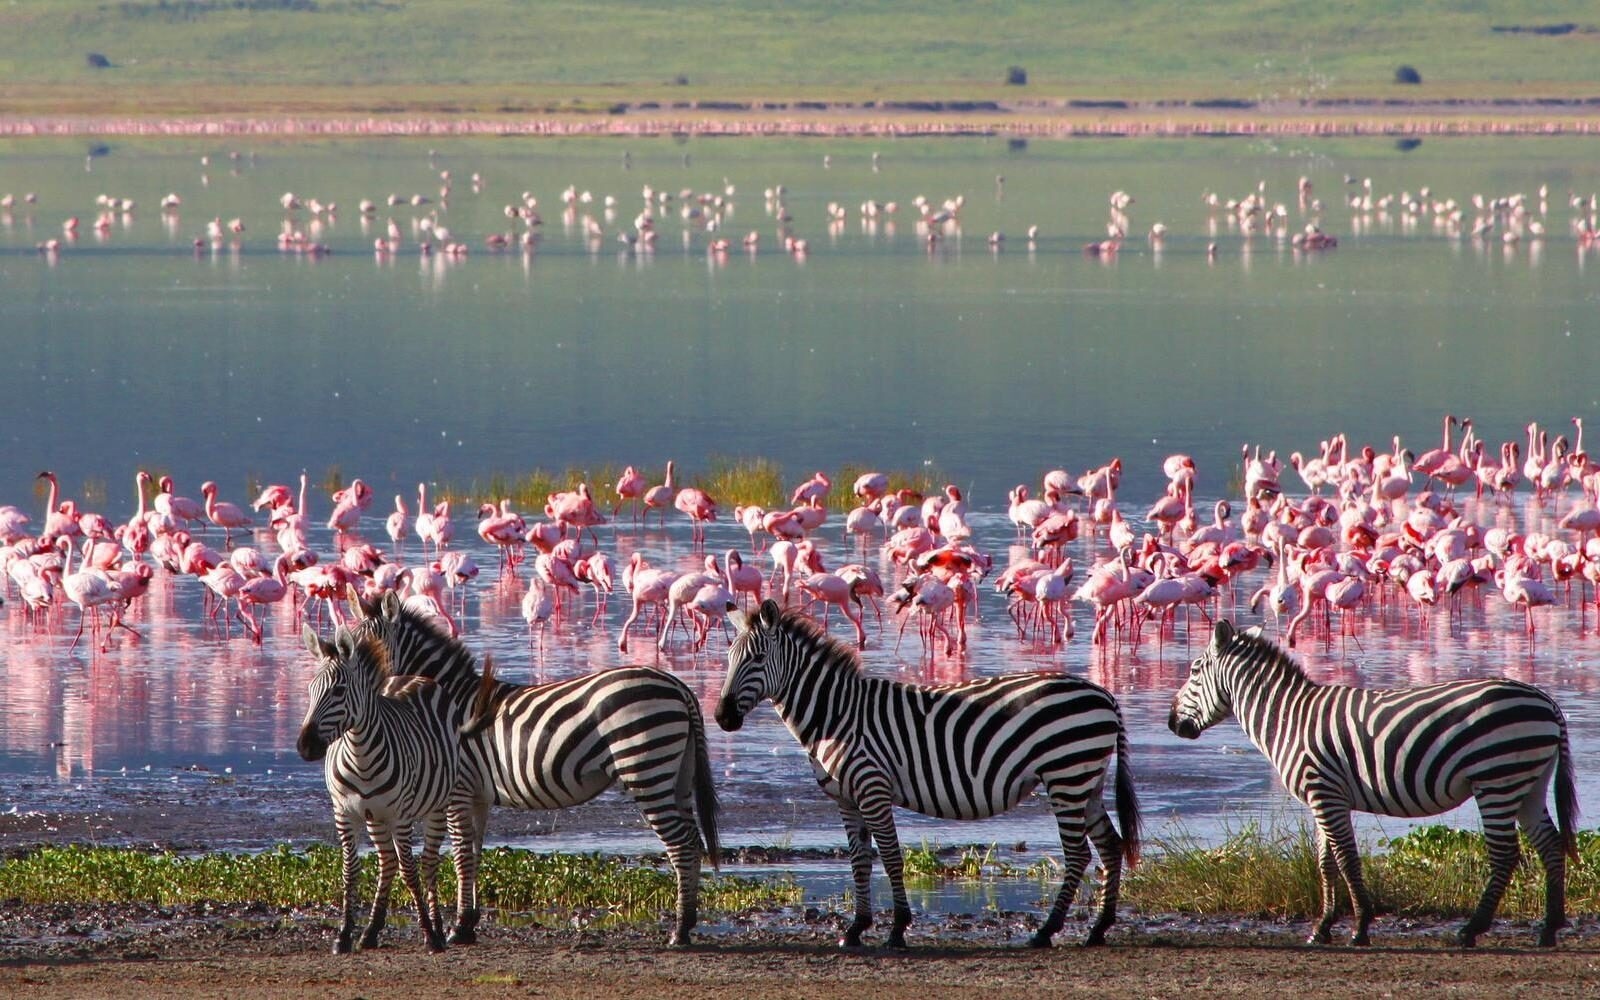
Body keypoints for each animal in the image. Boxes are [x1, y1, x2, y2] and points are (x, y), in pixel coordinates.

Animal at [296, 625, 484, 954]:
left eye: (338, 691)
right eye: (310, 691)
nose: (305, 747)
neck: (359, 755)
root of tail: (413, 677)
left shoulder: (400, 816)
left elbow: (410, 870)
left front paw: (429, 934)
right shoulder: (344, 813)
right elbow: (350, 870)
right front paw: (343, 935)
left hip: (438, 805)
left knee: (428, 862)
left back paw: (437, 927)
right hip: (375, 816)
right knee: (387, 862)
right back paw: (371, 932)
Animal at [348, 589, 720, 946]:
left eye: (369, 651)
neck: (446, 703)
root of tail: (679, 687)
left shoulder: (458, 791)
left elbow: (460, 855)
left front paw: (457, 927)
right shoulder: (478, 795)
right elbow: (475, 852)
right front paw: (469, 923)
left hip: (645, 767)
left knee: (680, 843)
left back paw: (679, 931)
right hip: (677, 773)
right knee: (692, 839)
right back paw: (687, 922)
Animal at [716, 599, 1141, 949]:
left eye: (756, 659)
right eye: (729, 657)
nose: (722, 717)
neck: (835, 716)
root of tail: (1104, 695)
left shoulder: (872, 788)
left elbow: (889, 857)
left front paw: (897, 929)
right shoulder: (847, 799)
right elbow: (859, 861)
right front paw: (856, 929)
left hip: (1065, 776)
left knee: (1078, 853)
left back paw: (1046, 931)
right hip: (1086, 781)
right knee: (1110, 844)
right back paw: (1098, 928)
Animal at [1169, 619, 1579, 947]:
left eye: (1194, 671)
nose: (1172, 723)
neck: (1289, 718)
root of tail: (1547, 701)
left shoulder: (1325, 794)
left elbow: (1346, 859)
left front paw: (1360, 927)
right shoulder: (1322, 798)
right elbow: (1325, 862)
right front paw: (1322, 927)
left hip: (1496, 778)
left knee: (1506, 853)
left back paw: (1472, 930)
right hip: (1528, 782)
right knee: (1550, 844)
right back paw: (1549, 928)